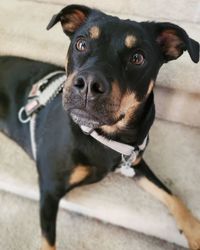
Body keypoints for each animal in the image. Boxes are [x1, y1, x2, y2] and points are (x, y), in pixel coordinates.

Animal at [0, 3, 200, 250]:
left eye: (137, 57)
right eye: (81, 43)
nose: (88, 84)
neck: (103, 136)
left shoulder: (135, 163)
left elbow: (171, 195)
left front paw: (194, 230)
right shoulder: (49, 190)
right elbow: (48, 241)